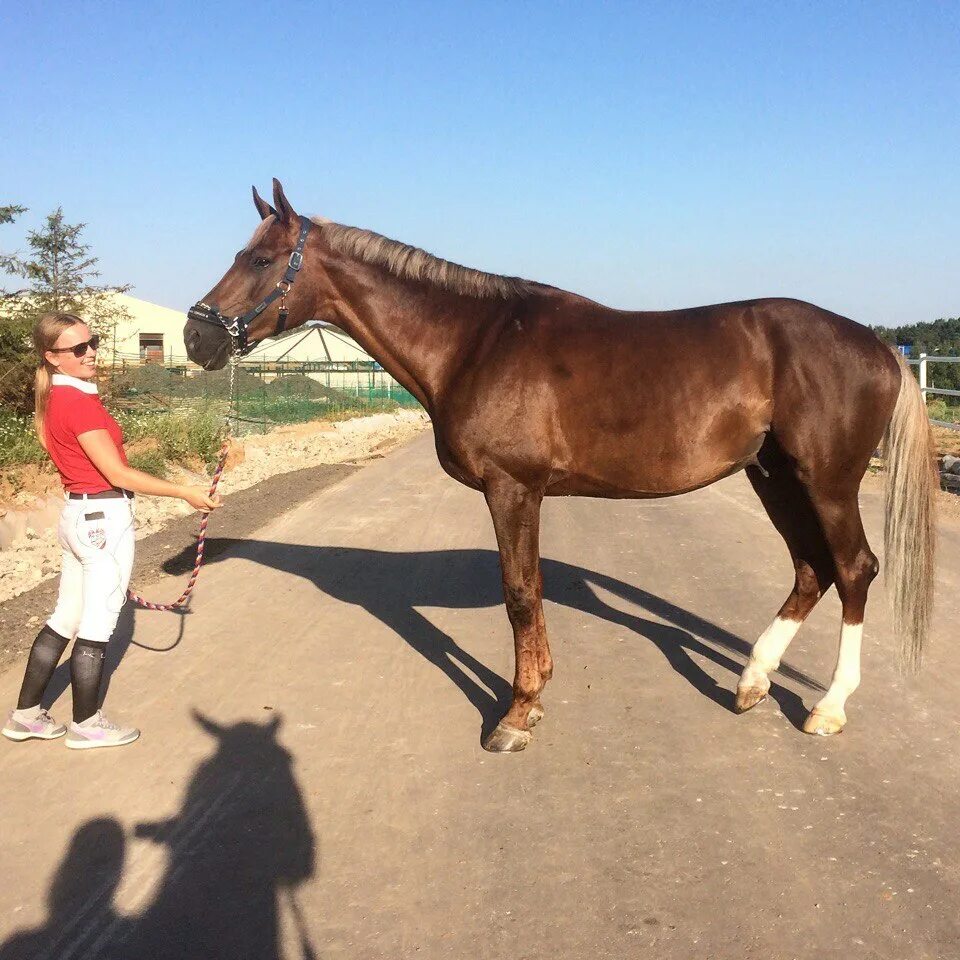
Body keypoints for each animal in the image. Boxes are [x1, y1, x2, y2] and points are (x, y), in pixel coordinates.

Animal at [184, 178, 932, 752]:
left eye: (261, 260)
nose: (196, 336)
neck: (474, 343)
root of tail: (876, 345)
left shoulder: (512, 489)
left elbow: (519, 592)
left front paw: (516, 714)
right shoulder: (525, 494)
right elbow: (532, 590)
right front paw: (536, 693)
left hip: (826, 481)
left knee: (853, 568)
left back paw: (828, 708)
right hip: (773, 476)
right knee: (811, 570)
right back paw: (751, 682)